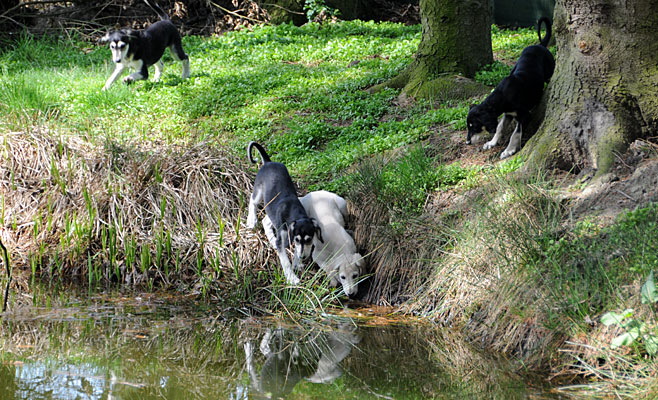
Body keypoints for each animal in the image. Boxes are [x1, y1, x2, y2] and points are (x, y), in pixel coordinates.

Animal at [245, 141, 322, 284]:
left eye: (309, 240)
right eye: (297, 239)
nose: (303, 258)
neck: (294, 212)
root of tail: (269, 162)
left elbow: (295, 250)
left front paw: (297, 263)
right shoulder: (282, 239)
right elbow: (285, 261)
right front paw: (292, 278)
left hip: (271, 209)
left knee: (265, 220)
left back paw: (271, 238)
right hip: (258, 190)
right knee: (252, 202)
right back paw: (252, 220)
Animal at [464, 17, 552, 159]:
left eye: (474, 126)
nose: (467, 142)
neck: (502, 95)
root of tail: (539, 45)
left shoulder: (525, 115)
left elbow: (515, 133)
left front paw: (509, 150)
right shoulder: (508, 114)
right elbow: (500, 127)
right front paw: (492, 143)